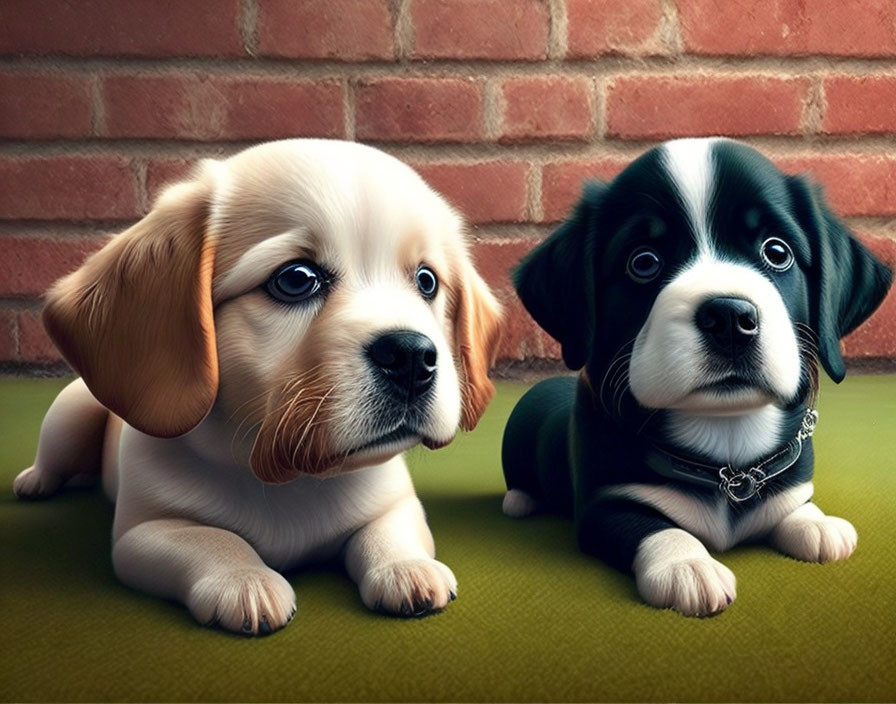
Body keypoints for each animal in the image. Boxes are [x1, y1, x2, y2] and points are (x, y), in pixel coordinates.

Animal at [14, 140, 500, 636]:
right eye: (296, 279)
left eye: (427, 281)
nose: (411, 356)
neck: (291, 477)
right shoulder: (145, 532)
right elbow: (211, 539)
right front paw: (244, 580)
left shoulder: (397, 503)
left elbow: (388, 531)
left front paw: (405, 568)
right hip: (71, 412)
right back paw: (35, 481)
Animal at [500, 138, 892, 616]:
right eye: (643, 262)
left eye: (777, 252)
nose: (730, 317)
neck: (725, 442)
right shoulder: (603, 504)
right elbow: (655, 527)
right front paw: (686, 566)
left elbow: (794, 503)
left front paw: (818, 524)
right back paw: (519, 499)